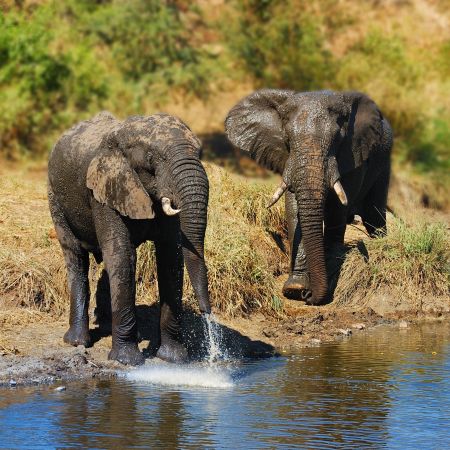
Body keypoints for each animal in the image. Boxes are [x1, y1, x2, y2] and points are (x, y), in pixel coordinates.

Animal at [48, 111, 211, 366]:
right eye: (154, 159)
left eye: (201, 153)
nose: (207, 313)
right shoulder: (103, 192)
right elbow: (122, 256)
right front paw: (127, 361)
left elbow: (170, 257)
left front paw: (174, 358)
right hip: (54, 195)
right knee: (75, 256)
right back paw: (77, 342)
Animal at [227, 88, 392, 306]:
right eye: (287, 139)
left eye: (338, 139)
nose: (308, 296)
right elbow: (293, 207)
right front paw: (295, 288)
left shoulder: (352, 154)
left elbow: (337, 208)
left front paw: (330, 270)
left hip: (383, 165)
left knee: (374, 216)